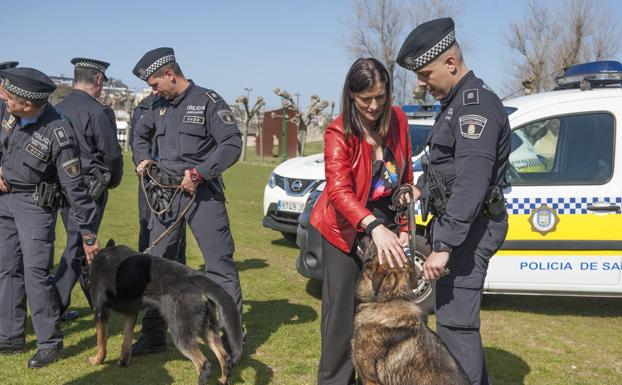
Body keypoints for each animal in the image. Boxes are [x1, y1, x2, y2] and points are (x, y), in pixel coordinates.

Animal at [86, 240, 243, 384]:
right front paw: (124, 362)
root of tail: (198, 279)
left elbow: (101, 342)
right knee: (225, 358)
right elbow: (126, 342)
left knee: (204, 365)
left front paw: (96, 360)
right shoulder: (131, 313)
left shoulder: (100, 311)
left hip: (180, 333)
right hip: (206, 328)